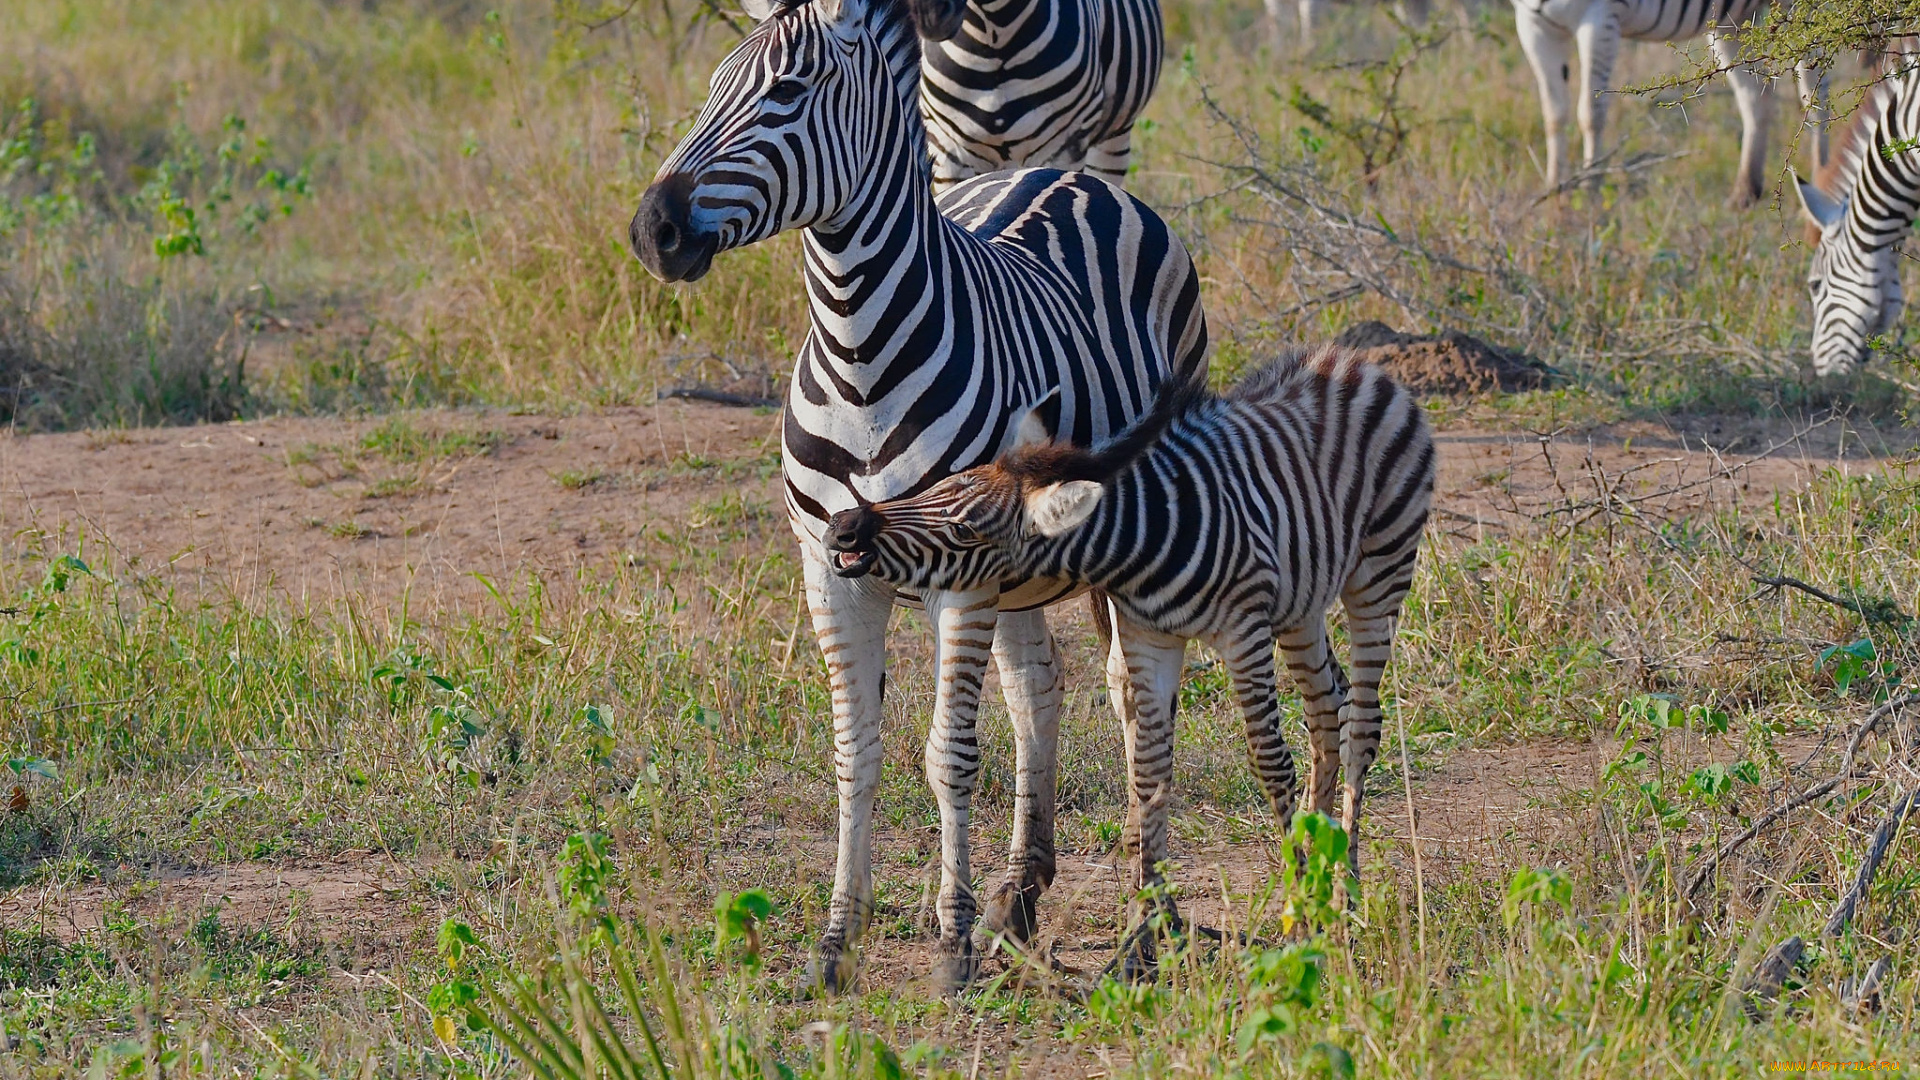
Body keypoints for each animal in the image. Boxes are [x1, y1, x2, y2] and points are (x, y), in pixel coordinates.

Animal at [833, 343, 1436, 957]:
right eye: (938, 488)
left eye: (964, 531)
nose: (844, 526)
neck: (1148, 540)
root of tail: (1356, 363)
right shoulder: (1150, 637)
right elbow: (1148, 769)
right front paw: (1146, 930)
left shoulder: (1244, 632)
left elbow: (1269, 761)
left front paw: (1298, 910)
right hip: (1302, 602)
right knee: (1325, 712)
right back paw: (1326, 866)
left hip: (1378, 575)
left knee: (1361, 721)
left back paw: (1344, 895)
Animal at [1512, 0, 1827, 205]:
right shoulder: (1532, 23)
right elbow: (1554, 113)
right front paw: (1555, 195)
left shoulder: (1600, 18)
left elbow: (1590, 114)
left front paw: (1589, 194)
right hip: (1733, 18)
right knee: (1755, 98)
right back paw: (1744, 194)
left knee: (1816, 91)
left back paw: (1821, 184)